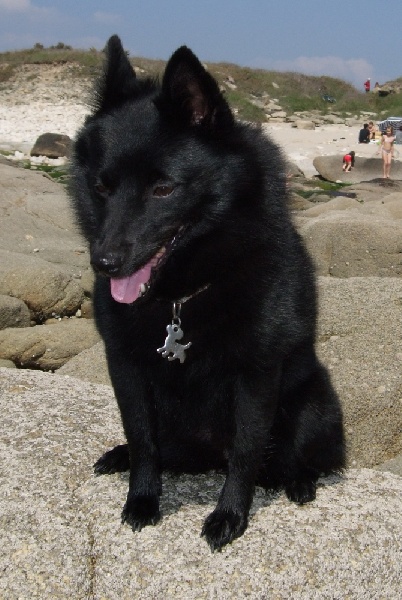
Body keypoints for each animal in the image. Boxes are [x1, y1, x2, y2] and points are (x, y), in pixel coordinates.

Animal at [70, 35, 345, 551]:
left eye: (163, 188)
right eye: (101, 186)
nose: (105, 263)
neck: (182, 296)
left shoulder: (256, 374)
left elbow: (246, 449)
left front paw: (229, 515)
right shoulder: (126, 367)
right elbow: (142, 439)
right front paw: (142, 499)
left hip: (313, 404)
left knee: (296, 457)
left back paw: (298, 481)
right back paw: (122, 457)